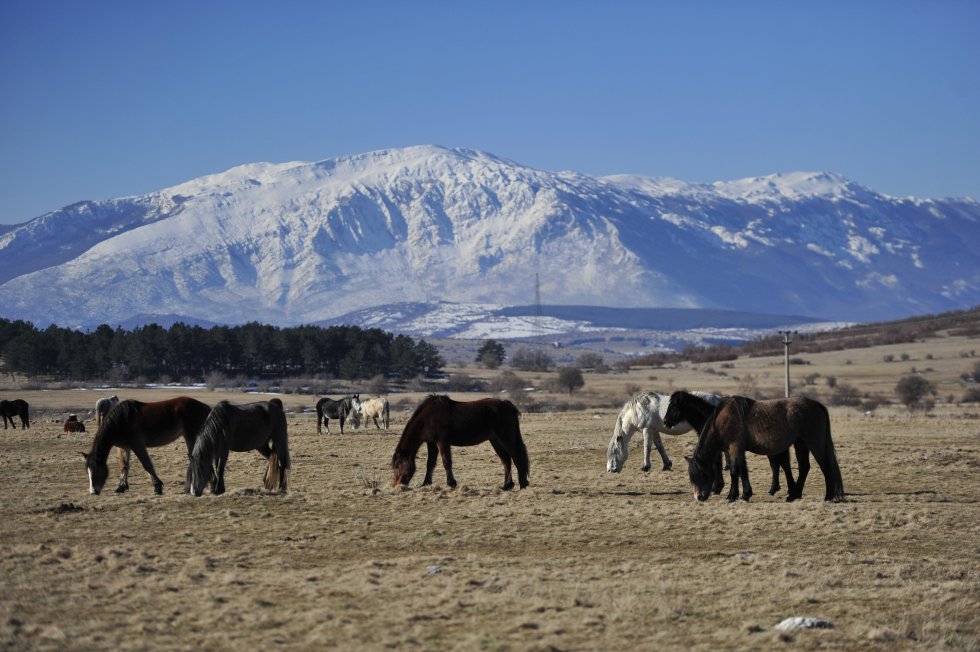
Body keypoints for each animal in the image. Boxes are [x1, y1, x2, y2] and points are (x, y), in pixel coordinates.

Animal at [80, 398, 211, 494]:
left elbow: (147, 464)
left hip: (191, 437)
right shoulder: (124, 448)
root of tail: (207, 408)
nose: (93, 491)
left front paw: (157, 487)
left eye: (96, 469)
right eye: (88, 471)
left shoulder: (137, 445)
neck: (120, 421)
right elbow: (124, 466)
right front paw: (121, 487)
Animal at [388, 394, 528, 492]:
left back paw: (523, 484)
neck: (427, 419)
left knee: (517, 458)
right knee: (506, 461)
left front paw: (451, 483)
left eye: (398, 465)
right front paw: (426, 483)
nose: (396, 486)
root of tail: (507, 405)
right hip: (495, 441)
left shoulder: (442, 441)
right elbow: (430, 463)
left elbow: (446, 462)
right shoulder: (432, 443)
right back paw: (507, 485)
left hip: (507, 439)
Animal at [680, 392, 844, 504]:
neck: (722, 420)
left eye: (702, 474)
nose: (698, 497)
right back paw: (793, 495)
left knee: (825, 467)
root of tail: (817, 405)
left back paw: (828, 496)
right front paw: (745, 494)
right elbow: (742, 471)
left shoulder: (734, 447)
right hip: (800, 444)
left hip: (814, 443)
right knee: (804, 468)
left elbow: (735, 471)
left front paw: (732, 496)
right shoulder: (737, 450)